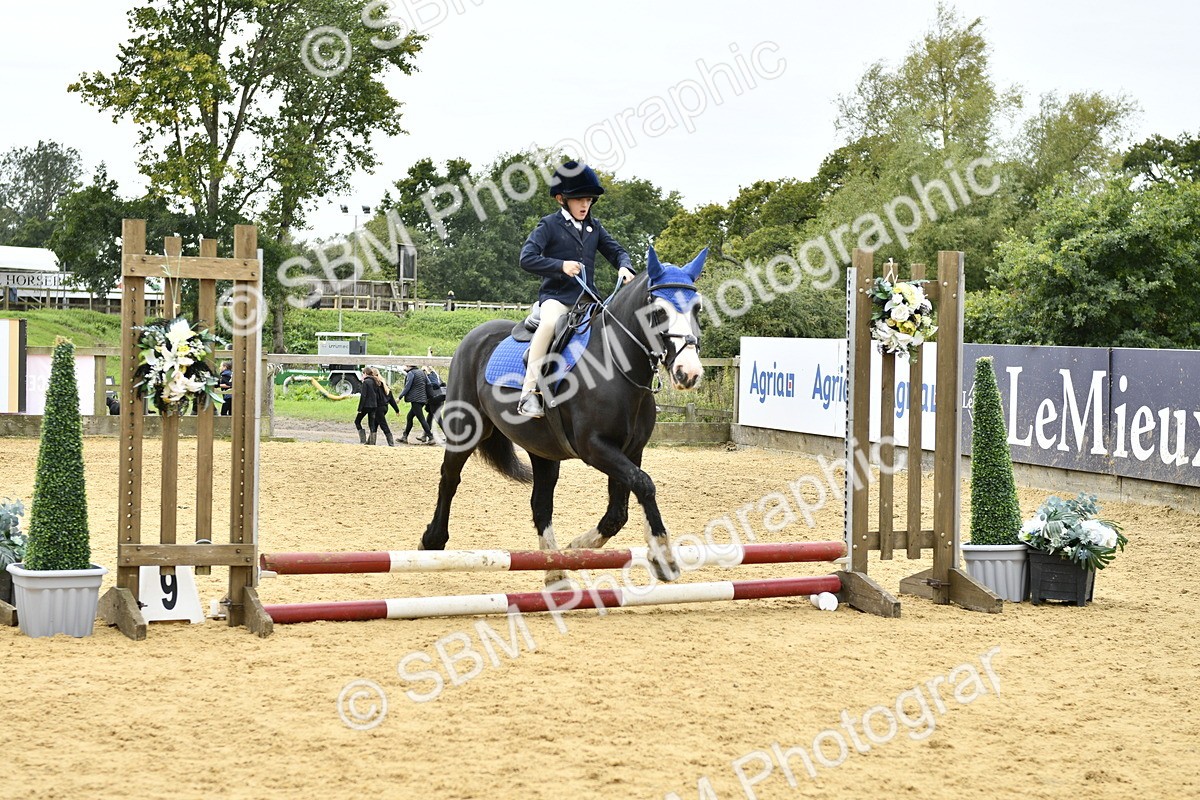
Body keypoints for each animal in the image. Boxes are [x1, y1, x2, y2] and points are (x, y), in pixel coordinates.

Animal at [419, 247, 707, 585]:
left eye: (697, 308)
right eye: (659, 311)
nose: (689, 373)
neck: (616, 366)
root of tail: (474, 336)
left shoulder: (630, 451)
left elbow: (619, 511)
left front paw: (575, 550)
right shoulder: (595, 448)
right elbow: (645, 485)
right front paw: (664, 556)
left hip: (543, 452)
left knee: (541, 506)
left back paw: (555, 570)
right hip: (466, 430)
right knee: (449, 479)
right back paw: (433, 540)